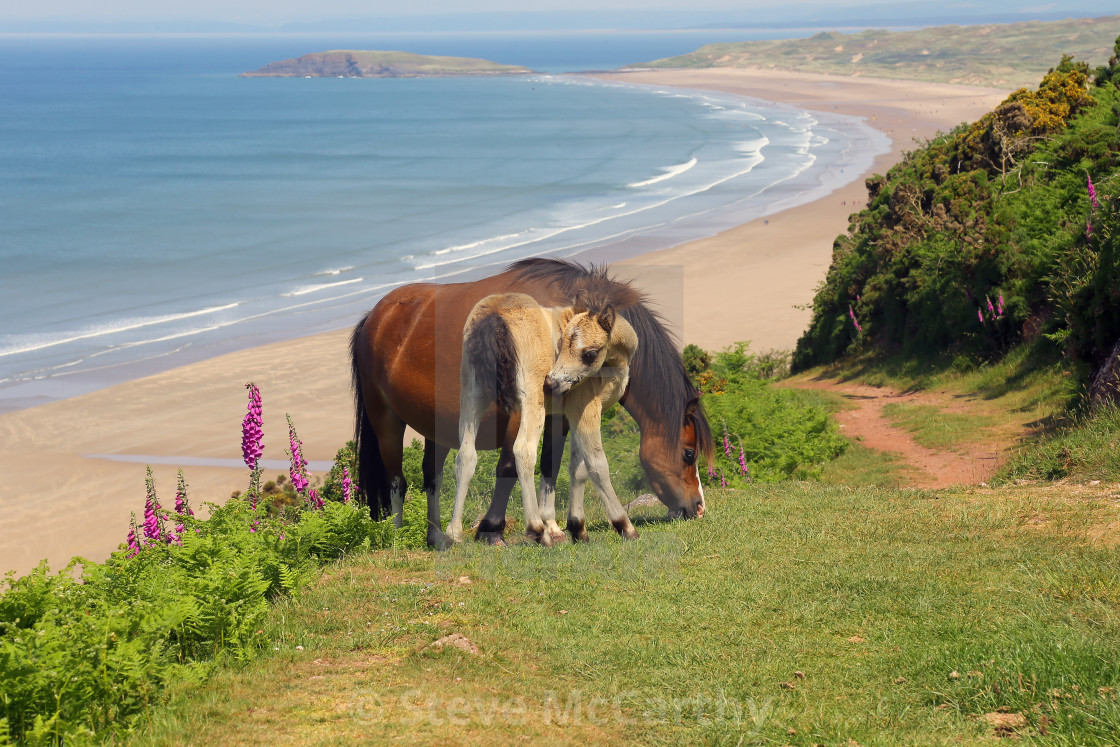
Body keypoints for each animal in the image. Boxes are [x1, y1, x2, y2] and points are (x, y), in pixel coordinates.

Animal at [351, 257, 716, 544]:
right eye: (688, 453)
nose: (698, 508)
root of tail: (373, 317)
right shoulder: (529, 414)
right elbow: (513, 465)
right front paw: (496, 530)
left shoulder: (561, 416)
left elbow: (557, 466)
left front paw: (557, 525)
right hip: (387, 423)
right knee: (398, 481)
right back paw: (399, 534)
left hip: (438, 428)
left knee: (435, 475)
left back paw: (438, 536)